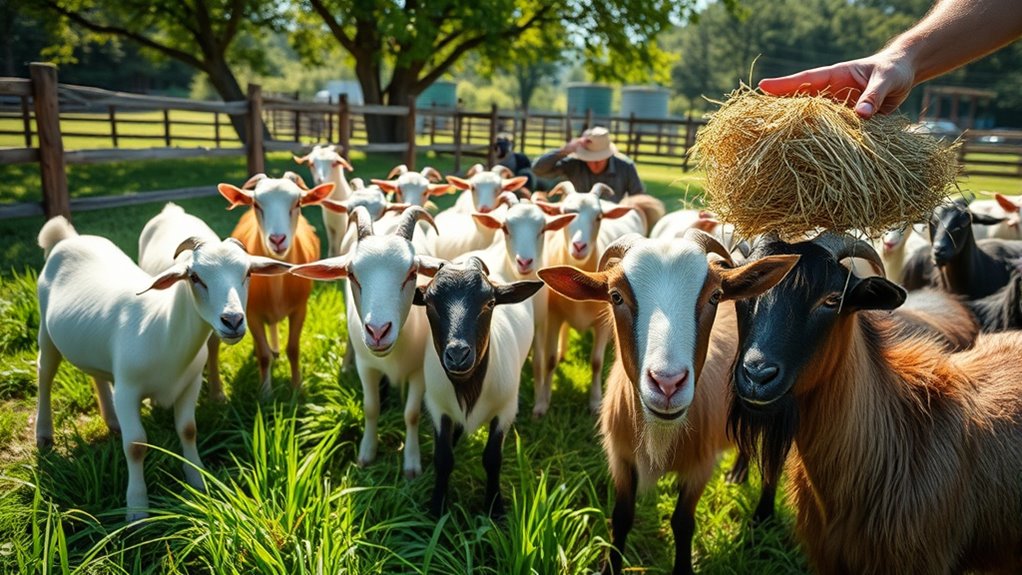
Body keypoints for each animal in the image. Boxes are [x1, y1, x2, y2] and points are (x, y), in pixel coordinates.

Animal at [36, 217, 290, 522]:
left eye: (248, 273)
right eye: (195, 277)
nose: (233, 320)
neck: (162, 327)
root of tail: (67, 238)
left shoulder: (190, 384)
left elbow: (188, 429)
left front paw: (197, 479)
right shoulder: (127, 390)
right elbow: (135, 445)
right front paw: (137, 508)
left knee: (96, 375)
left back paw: (113, 422)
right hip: (46, 330)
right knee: (45, 375)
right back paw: (44, 434)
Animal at [217, 173, 335, 397]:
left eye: (298, 203)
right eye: (256, 204)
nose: (277, 239)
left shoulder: (300, 309)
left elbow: (294, 349)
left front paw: (297, 388)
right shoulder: (252, 313)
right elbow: (264, 356)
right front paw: (265, 393)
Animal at [291, 206, 442, 477]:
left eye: (412, 273)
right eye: (351, 274)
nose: (378, 332)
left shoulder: (418, 371)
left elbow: (411, 414)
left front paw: (412, 463)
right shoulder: (367, 366)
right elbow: (371, 408)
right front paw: (367, 453)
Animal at [414, 256, 543, 517]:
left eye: (490, 303)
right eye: (429, 304)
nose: (457, 354)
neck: (466, 387)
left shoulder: (505, 410)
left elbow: (492, 459)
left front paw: (495, 508)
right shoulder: (437, 406)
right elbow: (443, 458)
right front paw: (436, 508)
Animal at [538, 231, 794, 575]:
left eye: (715, 296)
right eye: (616, 296)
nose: (668, 383)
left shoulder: (700, 467)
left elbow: (683, 523)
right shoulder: (621, 458)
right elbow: (621, 518)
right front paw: (610, 566)